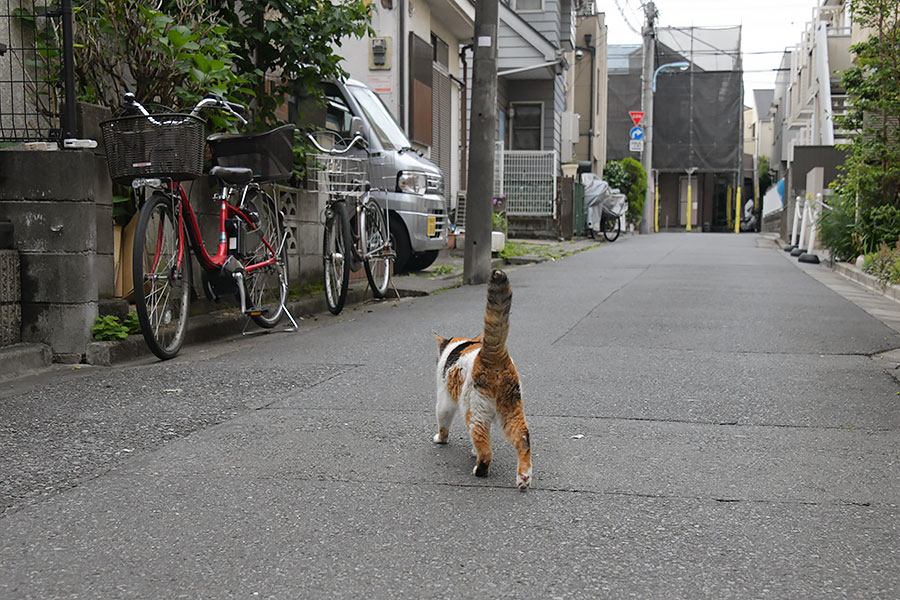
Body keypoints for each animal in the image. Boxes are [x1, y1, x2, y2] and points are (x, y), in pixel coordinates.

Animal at [432, 270, 532, 490]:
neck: (460, 344)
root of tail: (494, 354)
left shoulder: (444, 397)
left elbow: (443, 420)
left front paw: (440, 439)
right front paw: (472, 451)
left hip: (474, 408)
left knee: (485, 447)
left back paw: (480, 470)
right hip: (511, 408)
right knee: (523, 439)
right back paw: (523, 479)